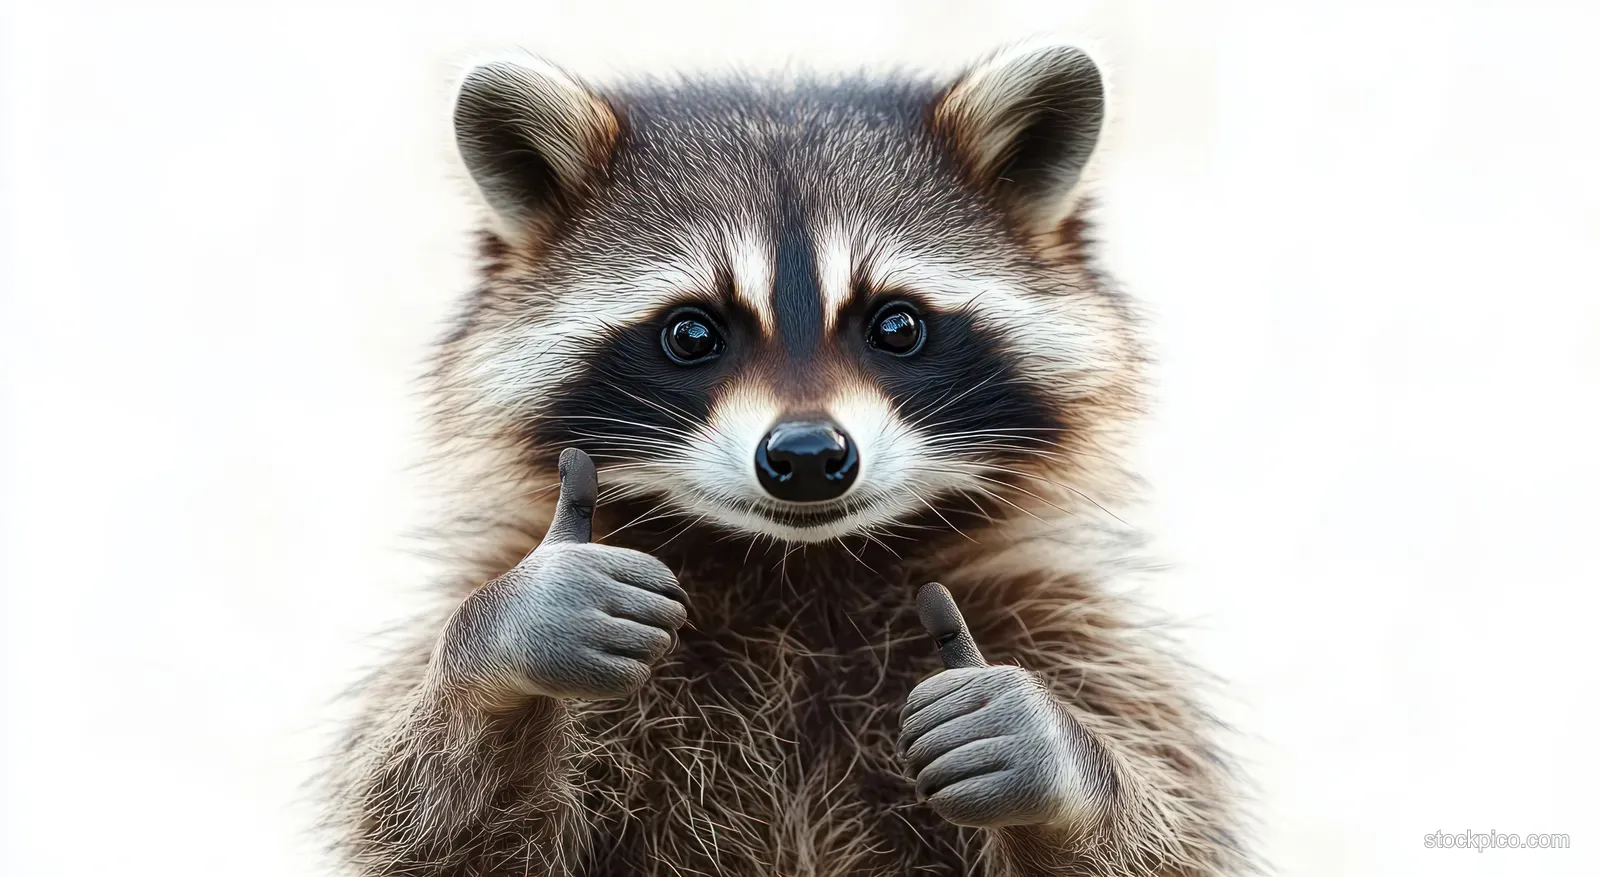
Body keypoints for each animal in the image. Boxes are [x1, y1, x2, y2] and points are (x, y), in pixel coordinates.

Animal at [324, 41, 1249, 877]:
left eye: (897, 325)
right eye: (691, 333)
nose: (807, 456)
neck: (797, 567)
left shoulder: (1065, 622)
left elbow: (1169, 842)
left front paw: (1057, 774)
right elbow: (441, 835)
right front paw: (515, 650)